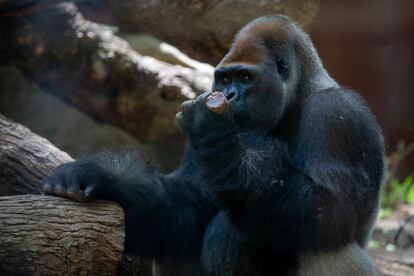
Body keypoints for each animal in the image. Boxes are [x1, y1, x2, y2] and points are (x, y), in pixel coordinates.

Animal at [42, 15, 384, 276]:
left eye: (244, 78)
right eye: (224, 79)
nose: (229, 95)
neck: (298, 96)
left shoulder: (338, 114)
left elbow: (327, 210)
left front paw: (218, 136)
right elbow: (185, 205)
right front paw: (104, 178)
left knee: (326, 245)